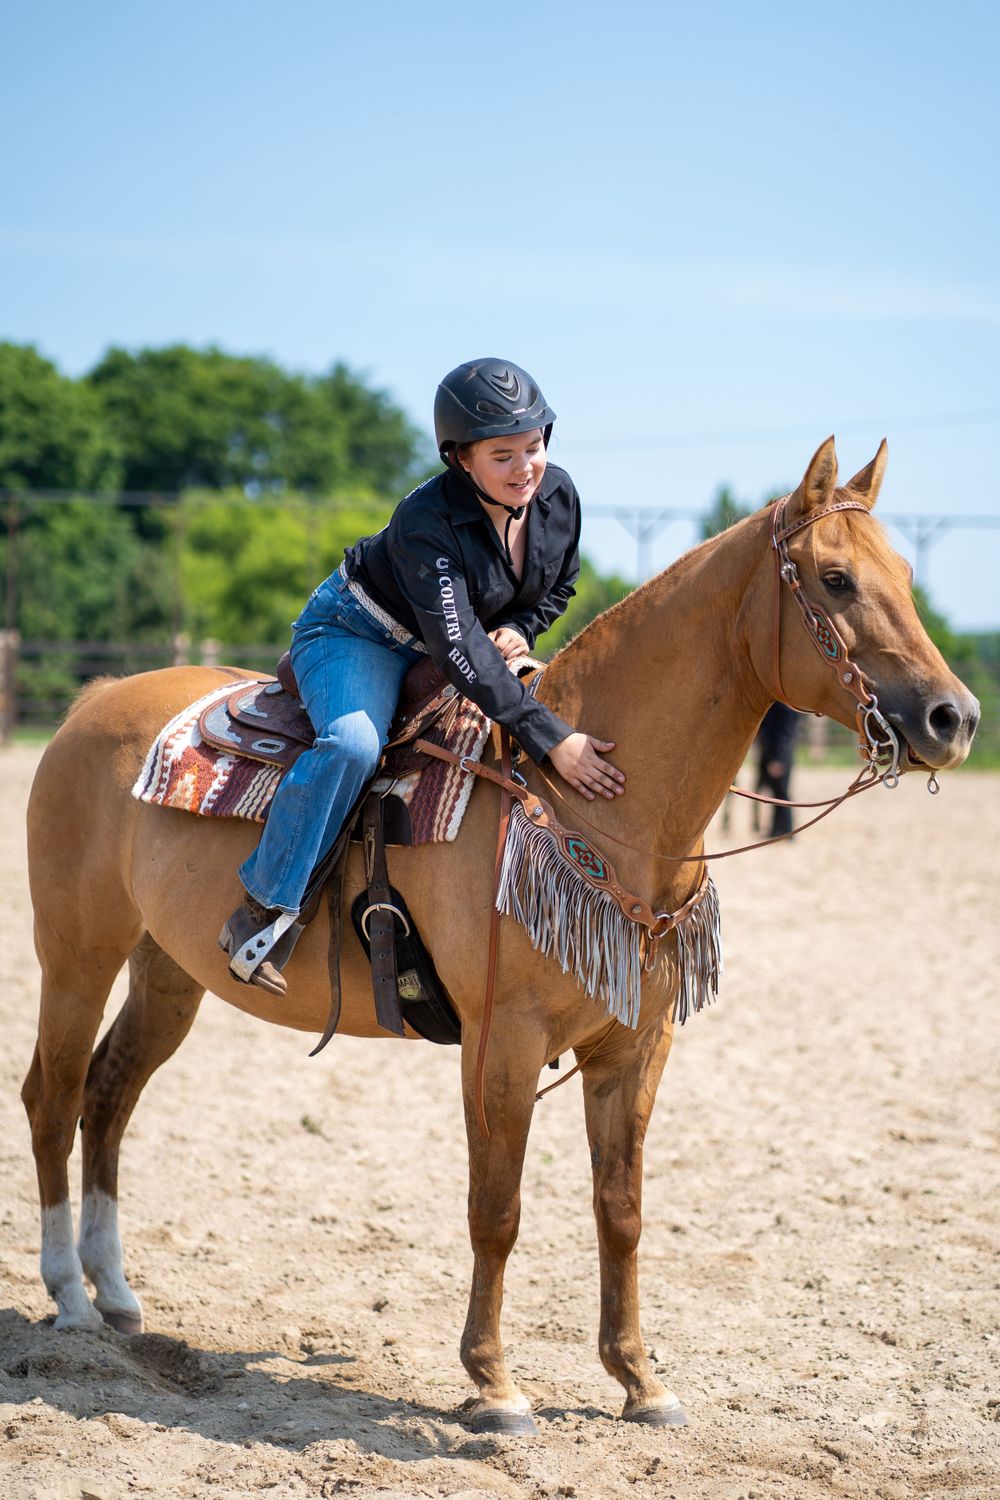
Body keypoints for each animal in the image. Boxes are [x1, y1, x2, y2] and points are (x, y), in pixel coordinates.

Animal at [21, 438, 978, 1433]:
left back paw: (117, 1293)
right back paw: (70, 1299)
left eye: (907, 575)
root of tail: (94, 701)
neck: (588, 801)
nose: (954, 718)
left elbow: (621, 1208)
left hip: (168, 973)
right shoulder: (502, 1043)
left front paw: (640, 1380)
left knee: (110, 1096)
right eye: (835, 578)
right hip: (77, 953)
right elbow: (498, 1208)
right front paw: (493, 1383)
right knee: (53, 1094)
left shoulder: (635, 1046)